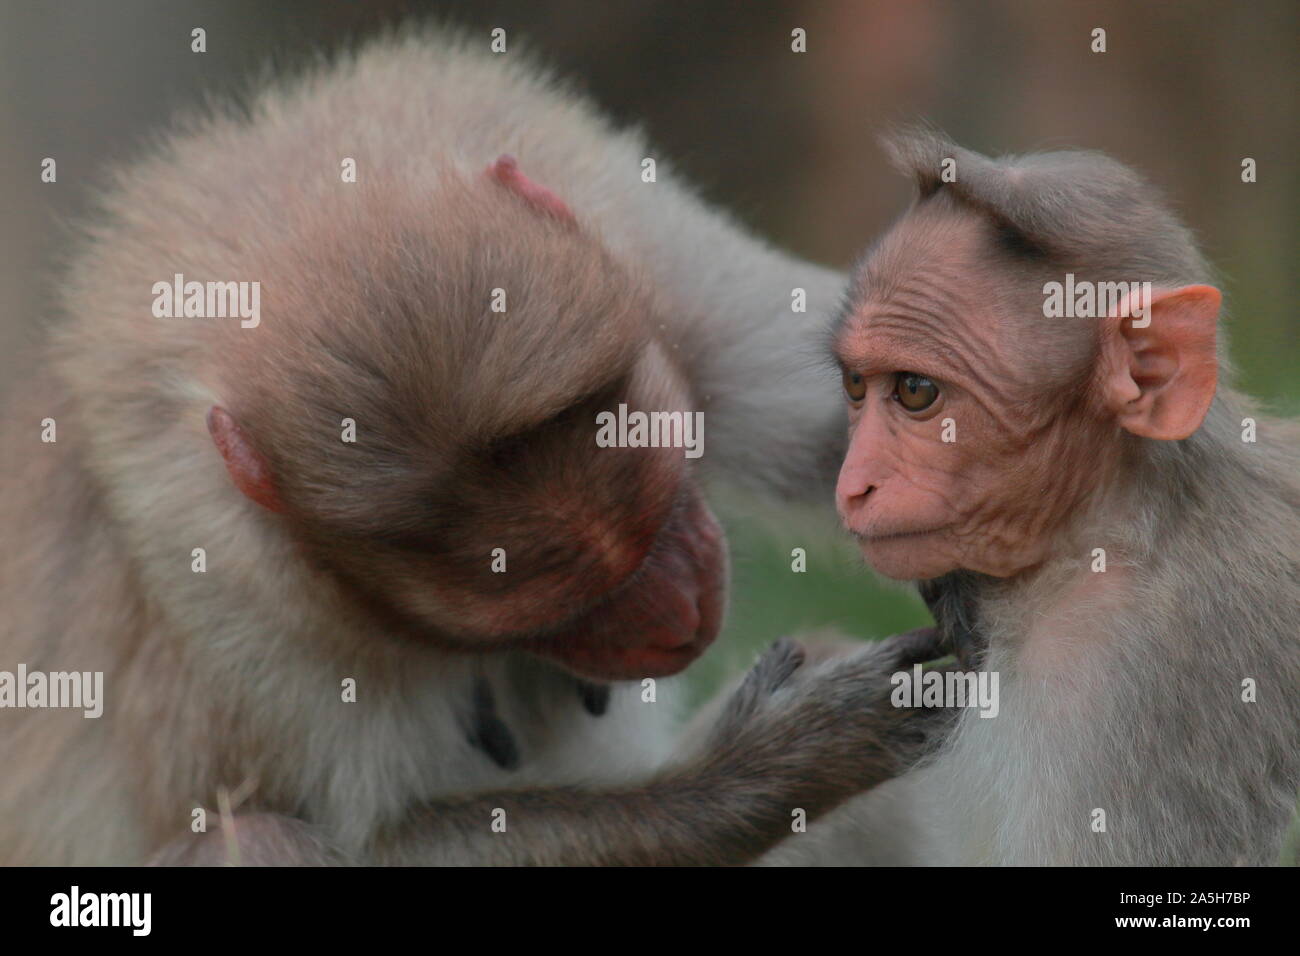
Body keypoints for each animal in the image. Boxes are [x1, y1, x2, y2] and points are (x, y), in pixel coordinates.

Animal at [0, 30, 951, 866]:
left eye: (657, 514)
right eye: (556, 606)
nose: (682, 619)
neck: (285, 222)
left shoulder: (647, 249)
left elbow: (854, 428)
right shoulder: (232, 590)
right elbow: (369, 840)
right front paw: (771, 765)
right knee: (258, 838)